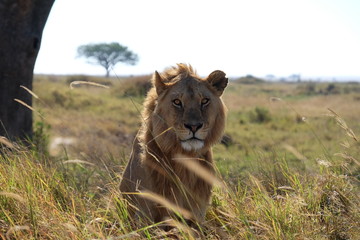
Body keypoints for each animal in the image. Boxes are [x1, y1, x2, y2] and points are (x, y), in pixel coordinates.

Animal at [121, 62, 228, 226]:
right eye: (177, 102)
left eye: (204, 101)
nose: (194, 126)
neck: (185, 157)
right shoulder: (144, 211)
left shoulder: (198, 211)